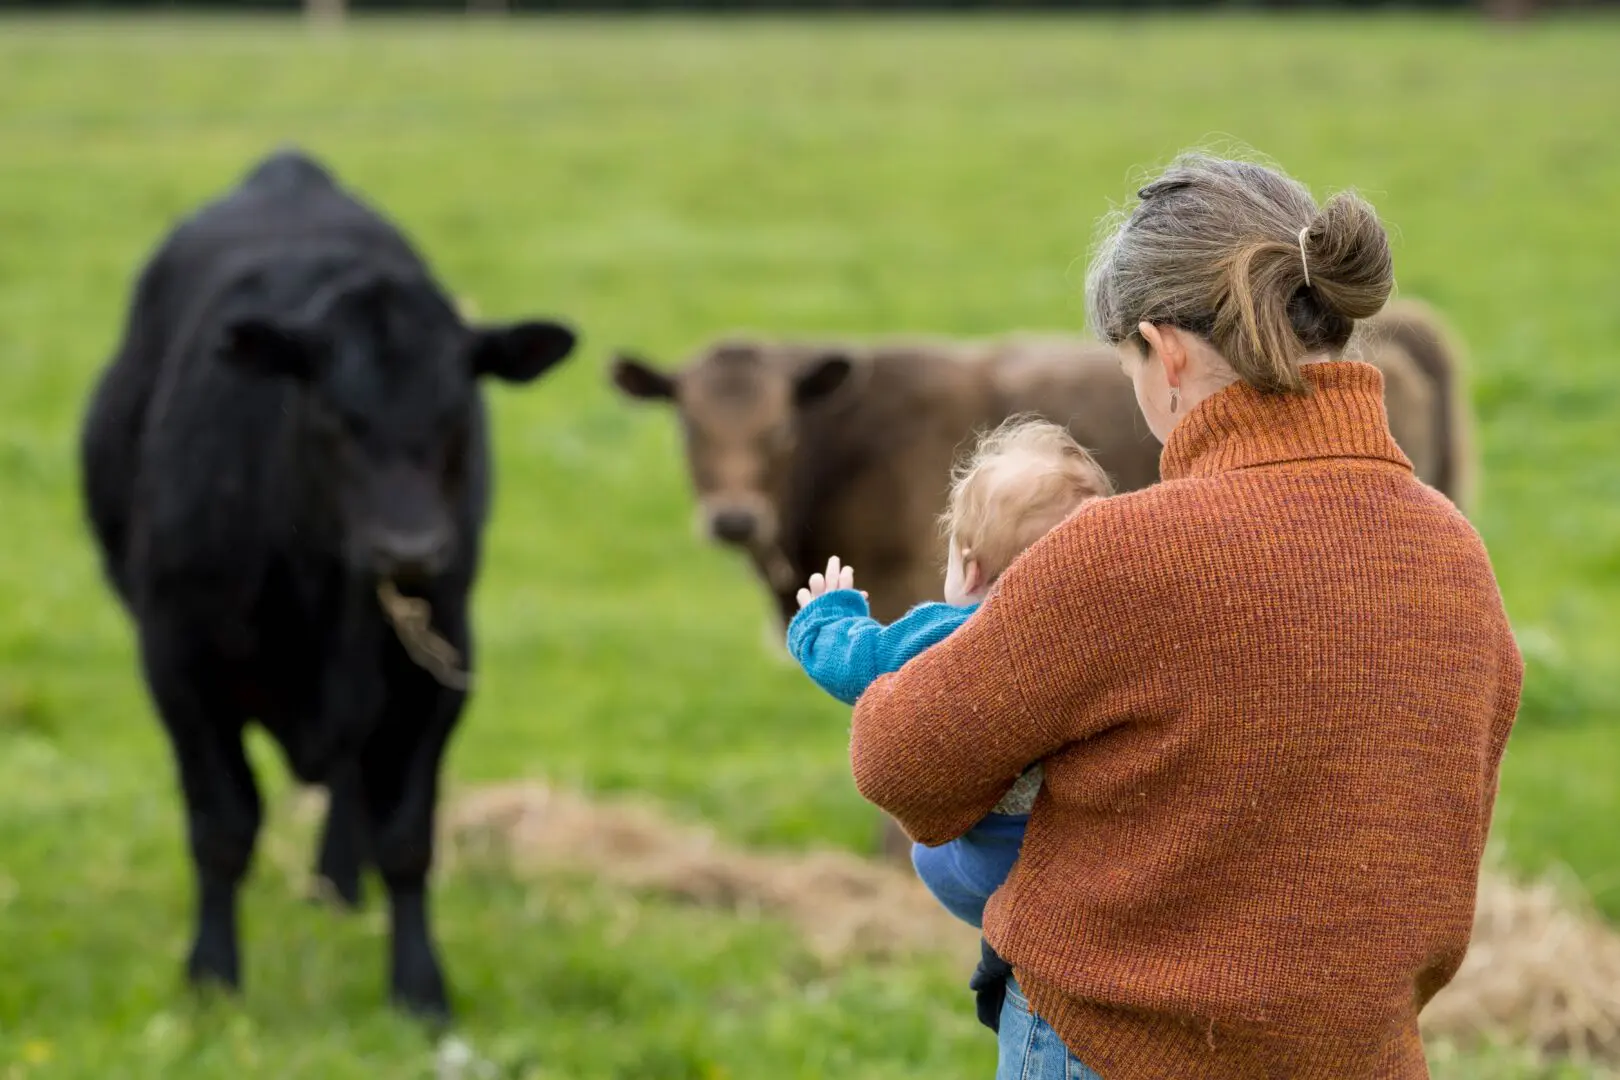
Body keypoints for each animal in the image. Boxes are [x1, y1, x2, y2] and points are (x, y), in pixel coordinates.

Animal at [82, 148, 579, 1016]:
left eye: (459, 414)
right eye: (335, 416)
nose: (408, 549)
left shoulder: (438, 666)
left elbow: (407, 837)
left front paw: (419, 988)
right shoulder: (177, 662)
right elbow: (222, 825)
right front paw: (213, 976)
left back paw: (338, 885)